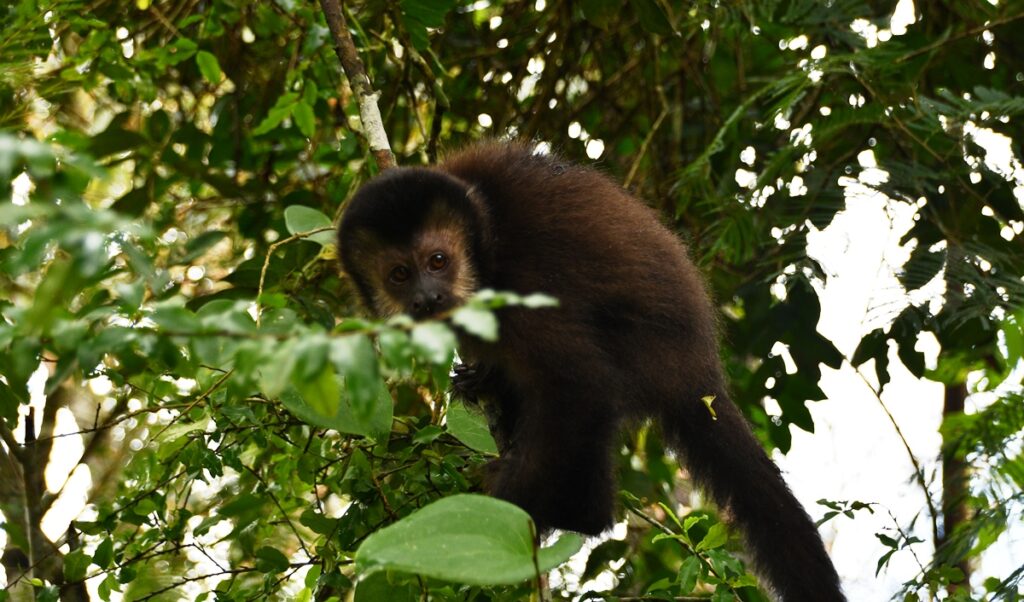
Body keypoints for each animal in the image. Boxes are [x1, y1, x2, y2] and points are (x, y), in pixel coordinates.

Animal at [339, 141, 843, 602]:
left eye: (438, 262)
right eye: (400, 274)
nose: (428, 298)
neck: (483, 249)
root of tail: (700, 373)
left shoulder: (519, 289)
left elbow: (581, 385)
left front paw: (502, 511)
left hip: (643, 355)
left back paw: (583, 514)